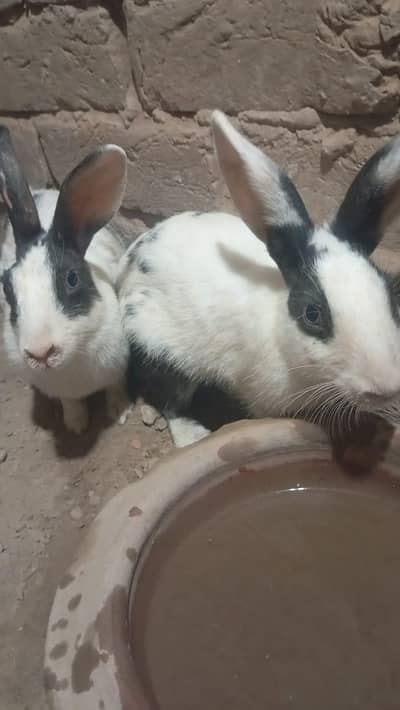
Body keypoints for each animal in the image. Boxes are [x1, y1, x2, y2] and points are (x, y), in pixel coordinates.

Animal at [0, 125, 131, 434]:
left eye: (72, 279)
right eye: (7, 287)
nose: (41, 352)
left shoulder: (118, 368)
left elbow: (115, 388)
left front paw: (119, 412)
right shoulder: (59, 391)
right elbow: (69, 402)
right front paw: (75, 425)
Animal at [118, 111, 400, 447]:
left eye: (391, 293)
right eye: (312, 313)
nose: (384, 388)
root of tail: (126, 268)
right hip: (161, 350)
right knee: (169, 399)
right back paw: (194, 435)